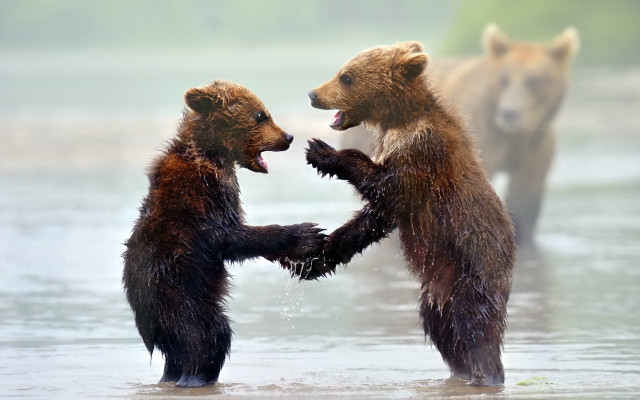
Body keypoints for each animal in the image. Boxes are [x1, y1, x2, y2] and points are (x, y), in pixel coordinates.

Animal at [122, 80, 326, 387]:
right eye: (260, 115)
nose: (288, 137)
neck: (212, 153)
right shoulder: (203, 196)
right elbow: (230, 238)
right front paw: (306, 234)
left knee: (177, 354)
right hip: (179, 293)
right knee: (207, 336)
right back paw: (196, 376)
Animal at [303, 42, 516, 386]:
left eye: (346, 77)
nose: (313, 94)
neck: (399, 119)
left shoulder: (420, 150)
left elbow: (386, 187)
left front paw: (322, 152)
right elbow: (375, 217)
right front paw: (318, 256)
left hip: (472, 276)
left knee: (475, 330)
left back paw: (485, 374)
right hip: (437, 293)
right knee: (443, 331)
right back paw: (461, 371)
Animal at [341, 25, 579, 246]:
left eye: (535, 81)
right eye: (504, 79)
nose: (510, 113)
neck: (513, 136)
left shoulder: (533, 150)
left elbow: (525, 198)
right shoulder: (482, 141)